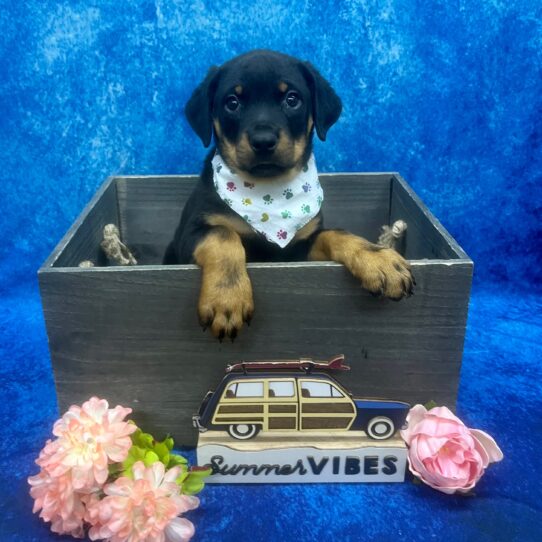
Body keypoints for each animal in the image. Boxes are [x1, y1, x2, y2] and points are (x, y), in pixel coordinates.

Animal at [164, 50, 414, 340]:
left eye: (292, 99)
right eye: (232, 102)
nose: (263, 141)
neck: (267, 193)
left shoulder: (300, 249)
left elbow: (334, 233)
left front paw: (379, 258)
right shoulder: (188, 235)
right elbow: (223, 234)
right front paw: (226, 299)